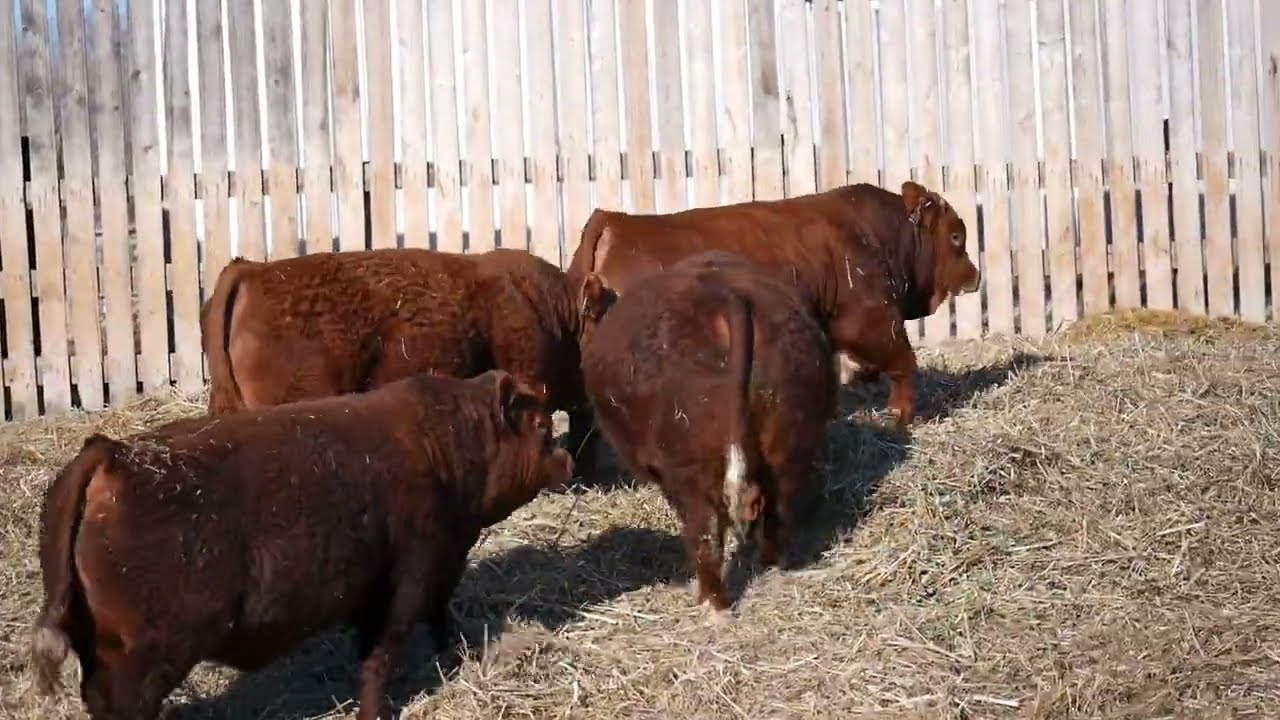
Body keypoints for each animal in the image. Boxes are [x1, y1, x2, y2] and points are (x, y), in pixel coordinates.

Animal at [28, 369, 574, 720]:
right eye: (541, 425)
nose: (568, 458)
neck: (447, 449)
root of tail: (112, 453)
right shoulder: (408, 579)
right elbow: (380, 657)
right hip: (148, 651)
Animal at [566, 180, 981, 429]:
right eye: (956, 236)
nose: (974, 276)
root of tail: (615, 221)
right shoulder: (870, 320)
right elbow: (903, 364)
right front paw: (901, 415)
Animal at [577, 252, 838, 616]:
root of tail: (726, 297)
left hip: (692, 470)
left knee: (706, 536)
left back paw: (713, 603)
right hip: (789, 447)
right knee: (777, 512)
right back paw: (771, 565)